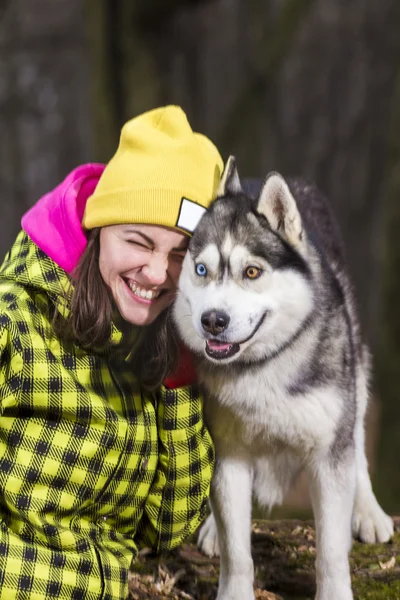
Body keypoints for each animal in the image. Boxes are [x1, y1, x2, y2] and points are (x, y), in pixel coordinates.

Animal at [173, 158, 392, 600]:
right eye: (201, 270)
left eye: (252, 271)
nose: (212, 320)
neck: (262, 366)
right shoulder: (229, 454)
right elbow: (237, 550)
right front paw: (234, 591)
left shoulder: (328, 454)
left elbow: (330, 550)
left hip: (356, 372)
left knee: (358, 440)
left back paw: (367, 511)